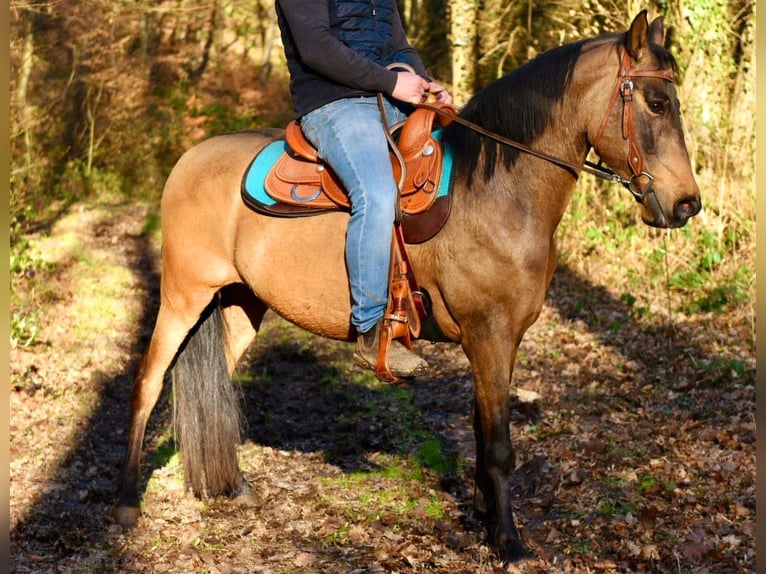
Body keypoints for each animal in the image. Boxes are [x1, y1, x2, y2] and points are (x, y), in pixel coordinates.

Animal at [114, 11, 700, 562]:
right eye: (655, 102)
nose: (686, 205)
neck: (498, 191)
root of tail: (188, 160)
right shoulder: (488, 336)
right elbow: (499, 446)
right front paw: (508, 542)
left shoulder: (499, 341)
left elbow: (483, 429)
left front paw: (486, 517)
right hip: (183, 295)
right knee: (147, 383)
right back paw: (125, 503)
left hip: (240, 304)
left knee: (215, 385)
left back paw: (231, 486)